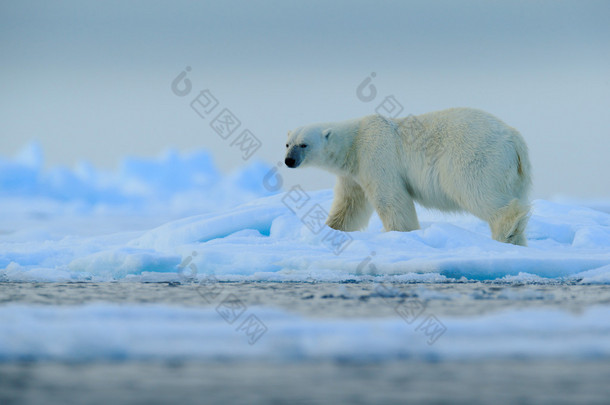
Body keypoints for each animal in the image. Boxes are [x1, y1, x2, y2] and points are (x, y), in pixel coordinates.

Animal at [284, 107, 528, 245]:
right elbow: (350, 205)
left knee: (477, 191)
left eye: (303, 144)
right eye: (287, 144)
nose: (289, 161)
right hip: (515, 172)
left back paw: (505, 232)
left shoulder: (375, 155)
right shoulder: (352, 174)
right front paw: (331, 228)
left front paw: (401, 234)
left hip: (475, 156)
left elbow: (390, 198)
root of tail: (513, 136)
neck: (354, 141)